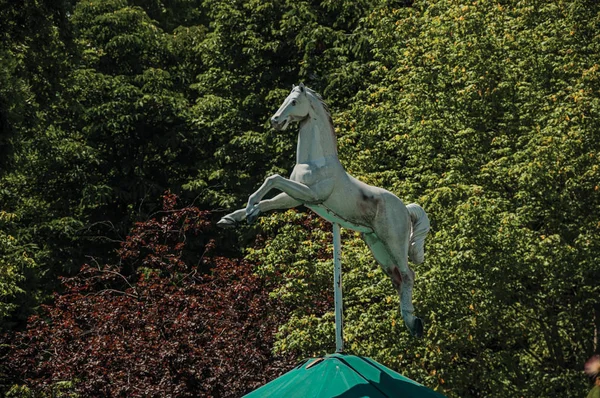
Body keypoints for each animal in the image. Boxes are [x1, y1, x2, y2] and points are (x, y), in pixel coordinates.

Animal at [218, 84, 428, 338]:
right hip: (377, 245)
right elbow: (269, 201)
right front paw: (233, 218)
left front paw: (249, 208)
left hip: (393, 242)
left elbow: (272, 179)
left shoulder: (310, 195)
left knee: (408, 276)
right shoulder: (295, 197)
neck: (315, 161)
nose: (275, 120)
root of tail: (406, 209)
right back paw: (411, 322)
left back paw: (414, 324)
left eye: (294, 102)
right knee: (398, 279)